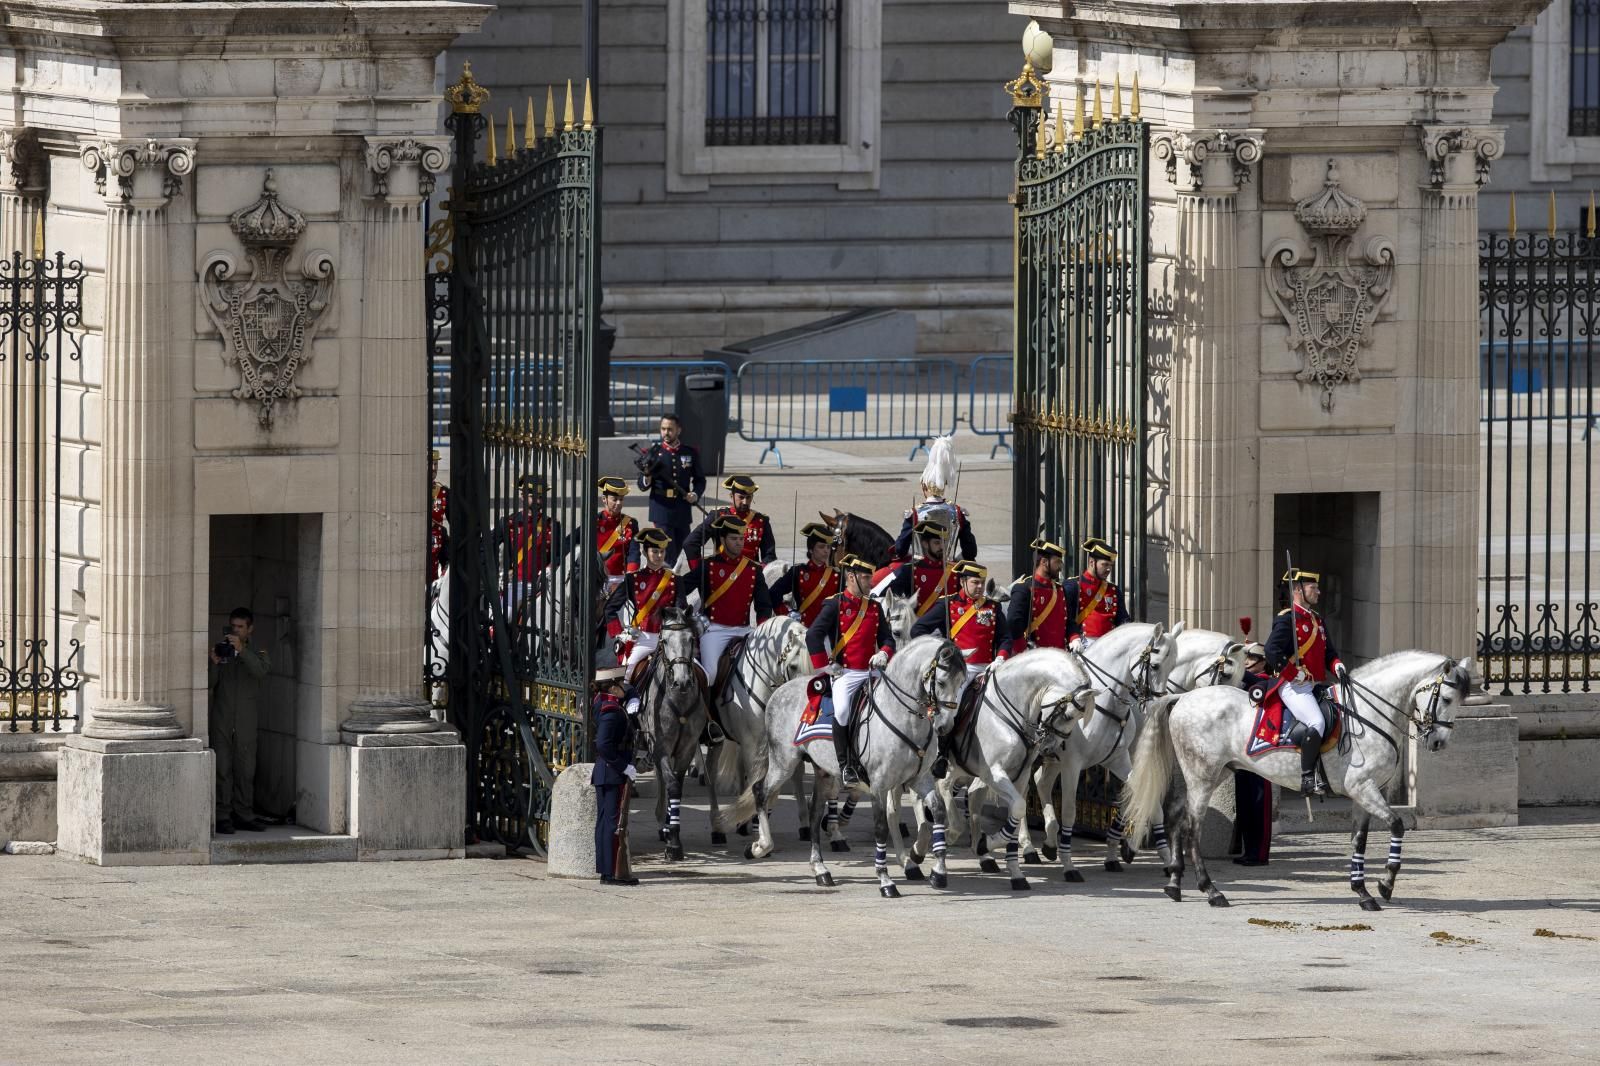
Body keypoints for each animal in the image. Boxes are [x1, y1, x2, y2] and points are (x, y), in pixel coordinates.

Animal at [726, 633, 960, 889]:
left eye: (962, 681)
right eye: (941, 683)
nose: (945, 726)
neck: (903, 716)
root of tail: (779, 691)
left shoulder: (919, 779)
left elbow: (936, 814)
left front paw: (936, 870)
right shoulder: (880, 785)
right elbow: (881, 828)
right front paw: (886, 880)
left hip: (822, 771)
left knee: (814, 813)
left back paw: (820, 869)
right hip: (783, 762)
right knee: (760, 791)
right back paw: (760, 846)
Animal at [1017, 617, 1184, 877]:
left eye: (1174, 665)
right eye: (1155, 666)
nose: (1160, 705)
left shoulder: (1119, 760)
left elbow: (1147, 800)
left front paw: (1166, 860)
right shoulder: (1072, 764)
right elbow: (1070, 810)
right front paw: (1069, 865)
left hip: (1050, 757)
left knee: (1040, 783)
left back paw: (1049, 842)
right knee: (1024, 793)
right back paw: (1027, 847)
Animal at [1126, 646, 1472, 902]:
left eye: (1459, 701)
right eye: (1447, 698)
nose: (1438, 742)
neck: (1367, 713)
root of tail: (1184, 696)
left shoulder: (1366, 793)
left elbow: (1359, 840)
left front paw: (1362, 892)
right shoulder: (1363, 787)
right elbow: (1397, 825)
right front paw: (1385, 884)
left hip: (1206, 773)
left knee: (1174, 815)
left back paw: (1174, 883)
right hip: (1203, 776)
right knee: (1191, 827)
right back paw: (1210, 890)